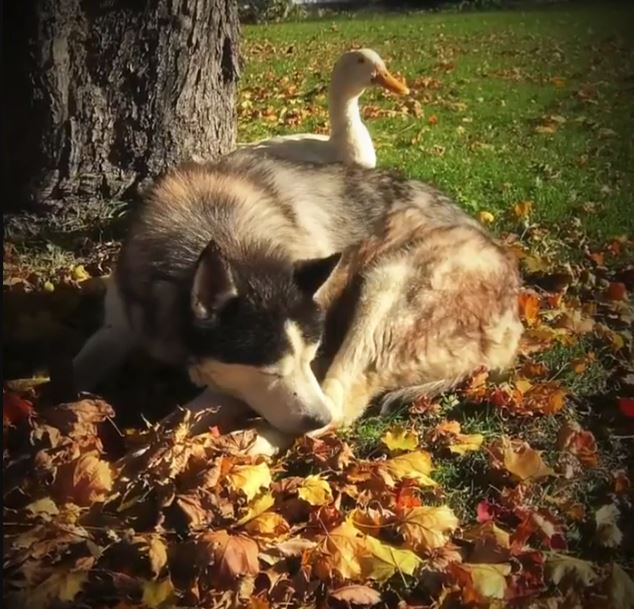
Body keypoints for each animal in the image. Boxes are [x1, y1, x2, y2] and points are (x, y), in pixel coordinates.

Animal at [74, 150, 520, 454]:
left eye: (310, 356)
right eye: (271, 371)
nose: (313, 417)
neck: (212, 221)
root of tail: (516, 318)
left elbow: (177, 420)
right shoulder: (119, 324)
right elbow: (76, 370)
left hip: (388, 280)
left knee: (340, 404)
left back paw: (250, 446)